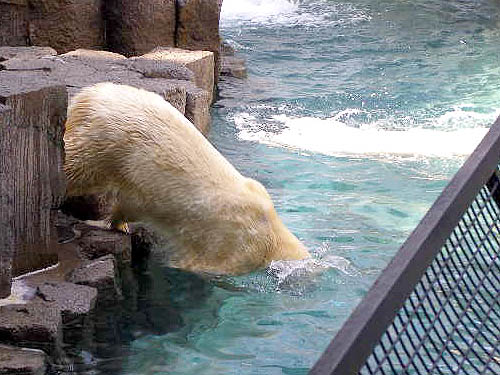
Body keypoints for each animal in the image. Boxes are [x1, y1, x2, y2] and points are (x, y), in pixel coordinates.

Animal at [63, 83, 308, 276]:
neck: (272, 236)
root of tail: (89, 97)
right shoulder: (234, 247)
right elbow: (205, 265)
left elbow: (130, 204)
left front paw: (117, 224)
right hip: (110, 138)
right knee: (80, 165)